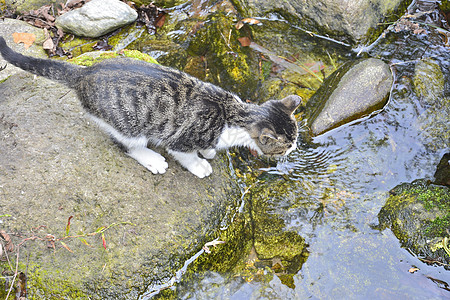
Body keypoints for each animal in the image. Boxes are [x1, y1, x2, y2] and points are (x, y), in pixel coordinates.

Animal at [0, 37, 302, 178]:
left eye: (295, 139)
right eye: (287, 145)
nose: (296, 148)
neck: (231, 112)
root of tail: (84, 73)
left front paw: (209, 150)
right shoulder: (180, 139)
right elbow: (185, 154)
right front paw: (200, 163)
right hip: (127, 123)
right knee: (126, 145)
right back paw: (152, 158)